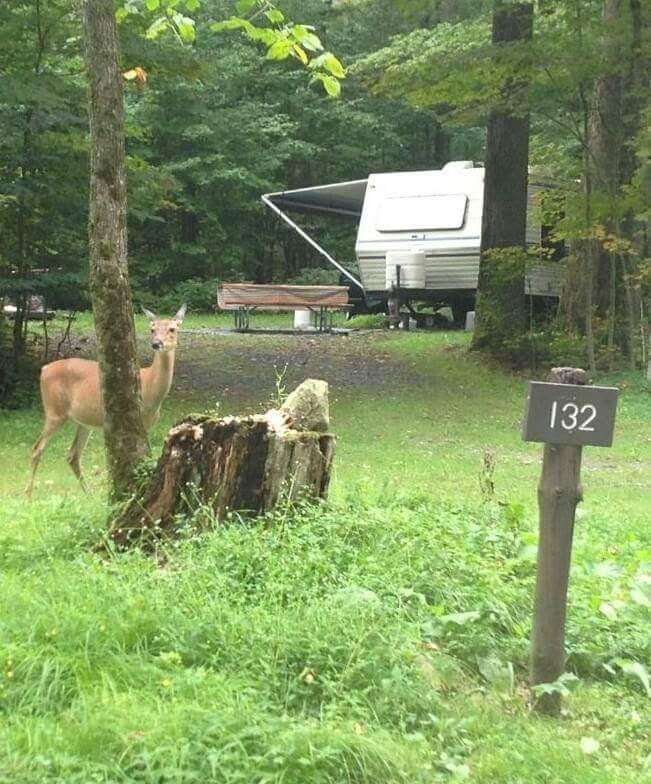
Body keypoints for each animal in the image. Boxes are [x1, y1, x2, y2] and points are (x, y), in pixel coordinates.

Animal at [26, 304, 186, 496]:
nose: (156, 343)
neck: (149, 388)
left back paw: (89, 495)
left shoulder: (146, 425)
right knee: (37, 449)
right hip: (54, 410)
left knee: (72, 455)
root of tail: (44, 369)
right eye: (152, 329)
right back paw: (28, 496)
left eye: (173, 328)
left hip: (83, 422)